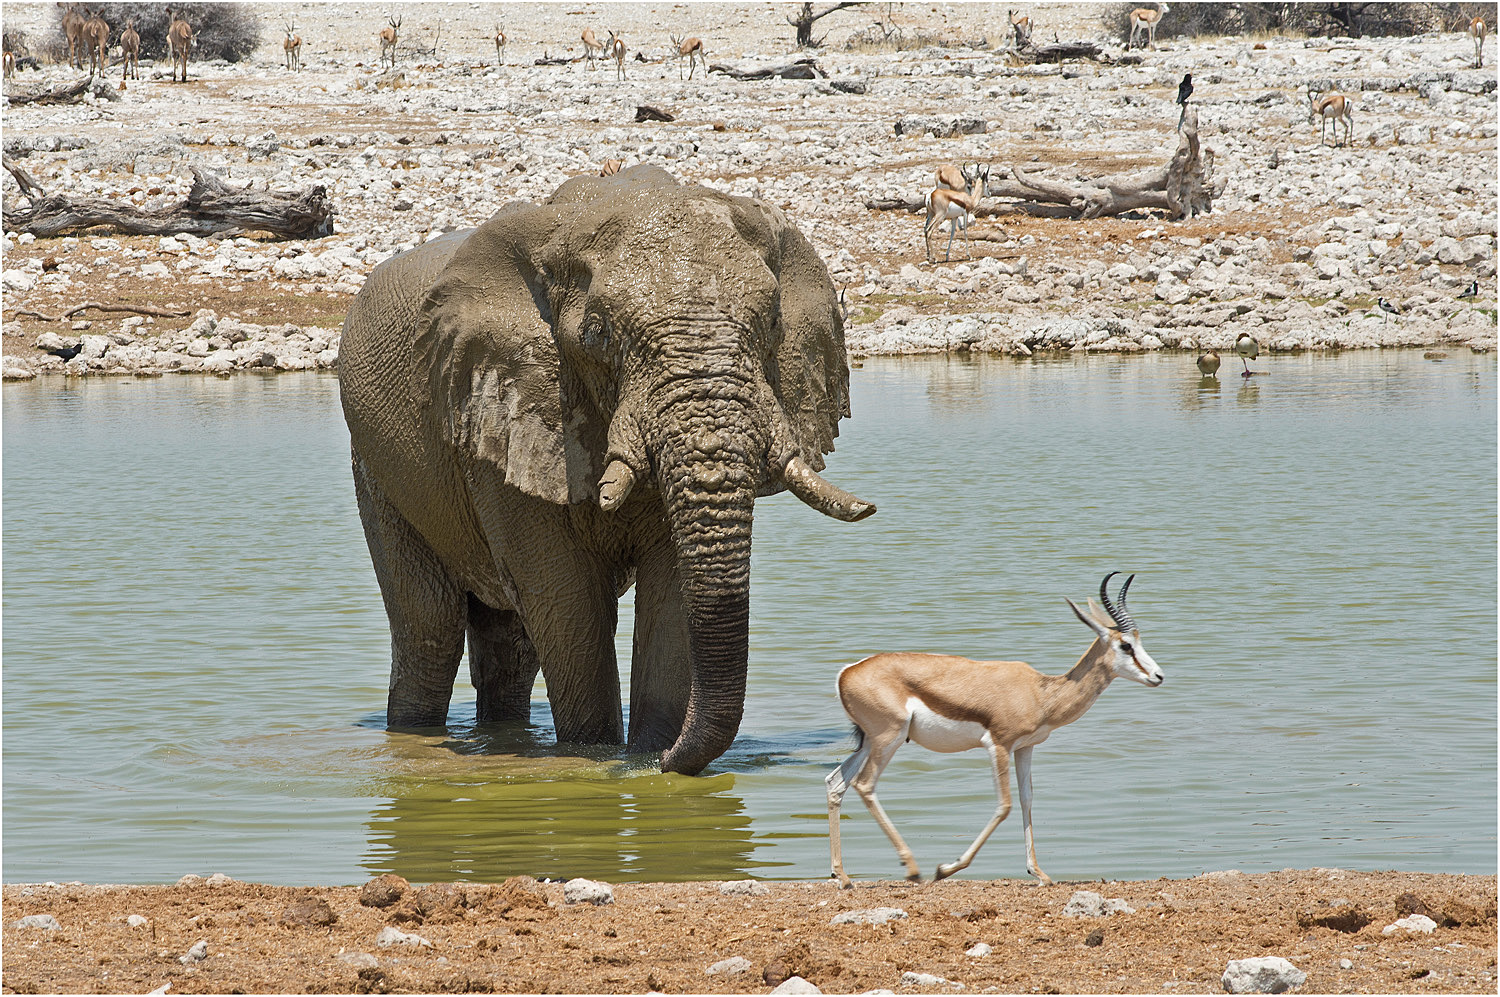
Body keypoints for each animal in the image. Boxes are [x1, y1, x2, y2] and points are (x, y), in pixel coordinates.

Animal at [340, 163, 876, 773]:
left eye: (769, 323)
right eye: (598, 333)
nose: (665, 762)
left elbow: (668, 592)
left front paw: (648, 759)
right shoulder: (500, 414)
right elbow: (566, 598)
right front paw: (593, 755)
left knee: (508, 646)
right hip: (376, 468)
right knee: (429, 628)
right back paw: (415, 736)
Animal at [828, 575, 1164, 887]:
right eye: (1125, 645)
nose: (1158, 676)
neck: (1040, 693)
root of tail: (847, 671)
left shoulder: (1025, 748)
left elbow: (1027, 800)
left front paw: (1039, 873)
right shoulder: (999, 745)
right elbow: (1005, 805)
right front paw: (945, 869)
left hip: (870, 743)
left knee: (836, 784)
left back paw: (842, 876)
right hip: (889, 739)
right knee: (865, 785)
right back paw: (912, 869)